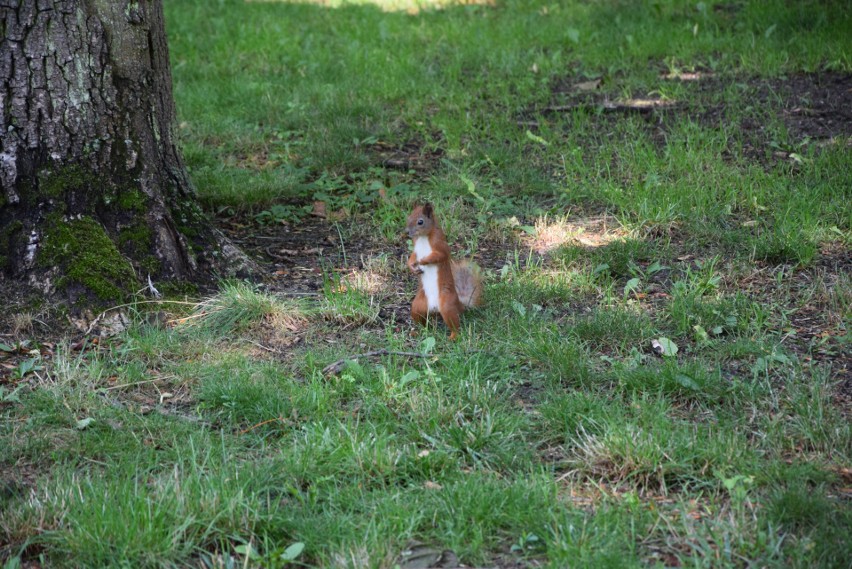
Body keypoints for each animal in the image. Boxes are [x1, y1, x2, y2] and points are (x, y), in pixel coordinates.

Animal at [404, 202, 480, 340]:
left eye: (420, 222)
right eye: (409, 217)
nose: (407, 232)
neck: (423, 237)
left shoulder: (440, 244)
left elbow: (440, 255)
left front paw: (423, 261)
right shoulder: (415, 249)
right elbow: (412, 257)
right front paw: (412, 267)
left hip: (447, 305)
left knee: (454, 325)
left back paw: (453, 337)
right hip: (418, 307)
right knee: (422, 320)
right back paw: (419, 332)